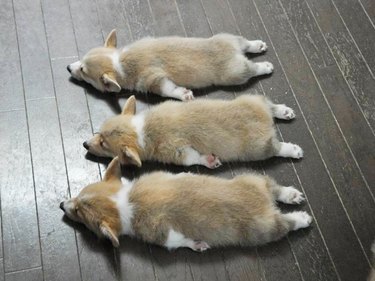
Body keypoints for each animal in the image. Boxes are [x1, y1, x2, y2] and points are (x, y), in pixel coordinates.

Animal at [59, 156, 312, 248]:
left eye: (79, 213)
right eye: (78, 194)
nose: (61, 205)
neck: (125, 201)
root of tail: (266, 204)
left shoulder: (164, 236)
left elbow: (179, 241)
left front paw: (197, 244)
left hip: (264, 230)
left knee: (286, 224)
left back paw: (301, 218)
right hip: (253, 178)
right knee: (273, 187)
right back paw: (290, 195)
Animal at [67, 29, 274, 100]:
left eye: (83, 71)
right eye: (81, 60)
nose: (68, 67)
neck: (119, 62)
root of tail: (235, 53)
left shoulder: (154, 80)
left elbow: (168, 89)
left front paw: (184, 95)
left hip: (235, 74)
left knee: (252, 69)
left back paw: (266, 67)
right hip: (229, 37)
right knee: (245, 43)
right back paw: (258, 45)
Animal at [83, 94, 304, 167]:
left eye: (103, 144)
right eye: (98, 133)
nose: (84, 144)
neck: (141, 130)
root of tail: (266, 122)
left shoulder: (176, 151)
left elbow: (192, 158)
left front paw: (210, 161)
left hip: (258, 149)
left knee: (276, 148)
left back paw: (293, 150)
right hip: (252, 99)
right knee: (269, 105)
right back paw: (283, 111)